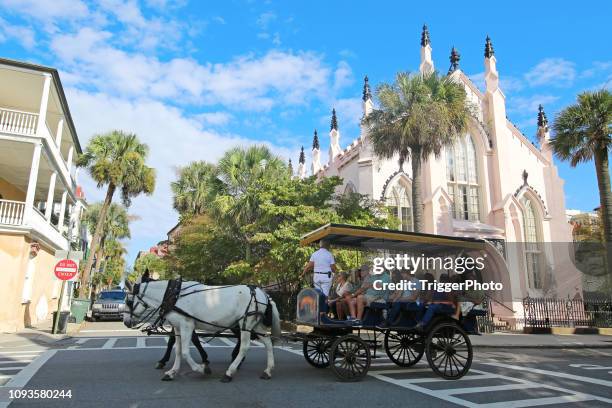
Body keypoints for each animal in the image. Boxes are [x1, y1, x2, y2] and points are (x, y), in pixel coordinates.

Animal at [124, 278, 282, 380]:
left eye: (128, 301)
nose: (126, 322)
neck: (174, 295)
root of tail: (263, 294)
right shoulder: (178, 327)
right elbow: (177, 350)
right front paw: (172, 372)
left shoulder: (187, 325)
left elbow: (185, 351)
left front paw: (202, 368)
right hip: (256, 325)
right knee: (268, 343)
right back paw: (268, 371)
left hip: (246, 323)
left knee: (244, 346)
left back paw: (229, 372)